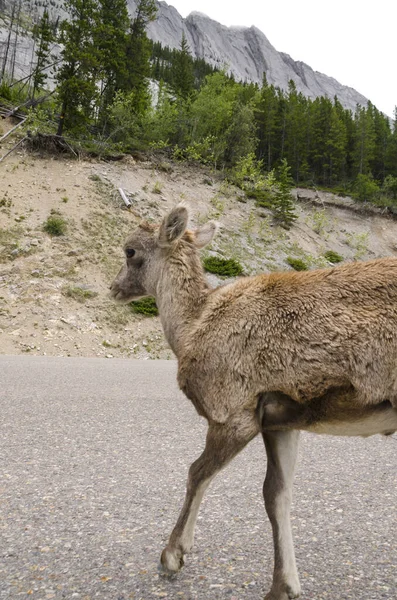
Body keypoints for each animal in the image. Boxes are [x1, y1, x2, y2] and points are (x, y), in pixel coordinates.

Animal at [110, 207, 396, 600]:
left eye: (131, 251)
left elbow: (196, 474)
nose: (114, 288)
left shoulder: (233, 417)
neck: (193, 325)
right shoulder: (281, 424)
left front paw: (171, 557)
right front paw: (284, 586)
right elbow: (276, 496)